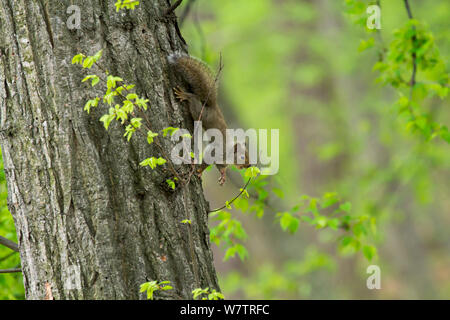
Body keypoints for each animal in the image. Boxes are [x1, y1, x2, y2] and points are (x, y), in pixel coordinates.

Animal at [169, 52, 251, 185]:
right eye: (242, 157)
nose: (249, 165)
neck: (229, 154)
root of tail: (213, 105)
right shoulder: (216, 151)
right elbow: (206, 160)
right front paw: (199, 170)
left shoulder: (221, 161)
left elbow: (220, 167)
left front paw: (223, 175)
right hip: (200, 112)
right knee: (194, 99)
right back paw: (185, 95)